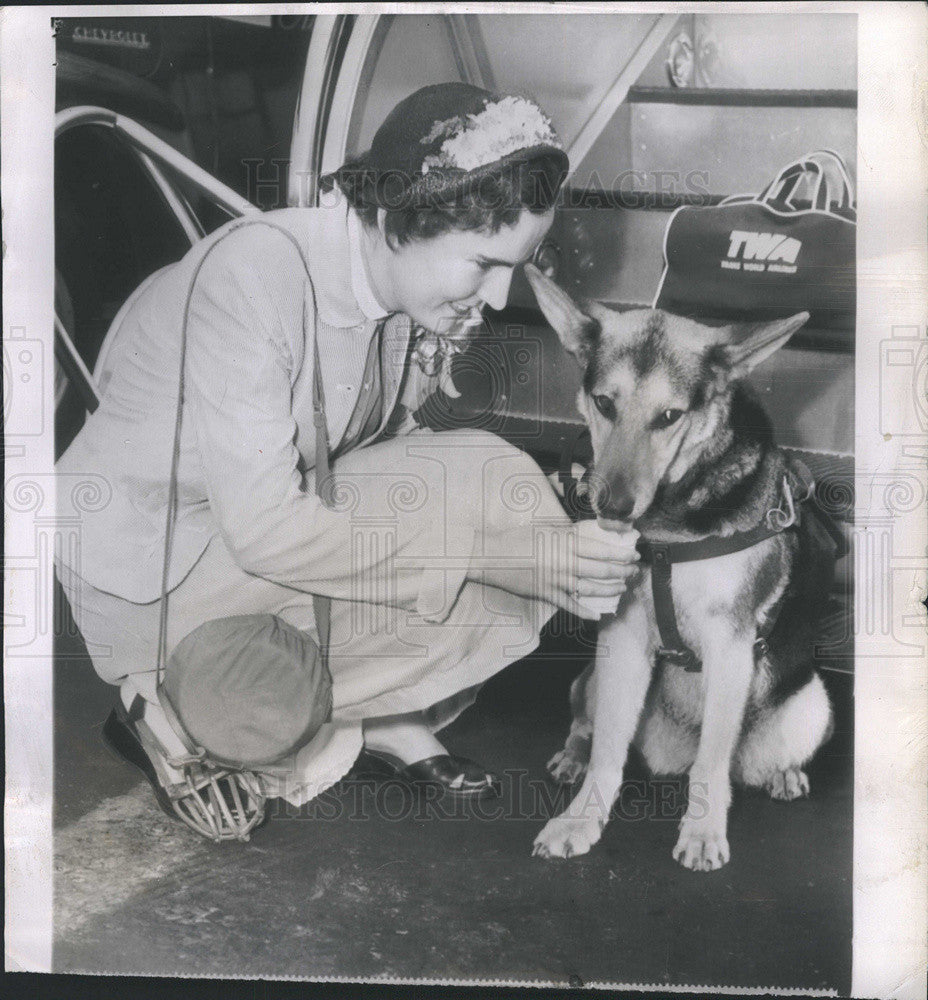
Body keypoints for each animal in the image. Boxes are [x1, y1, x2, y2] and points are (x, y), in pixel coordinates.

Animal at [524, 264, 836, 868]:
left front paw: (703, 832)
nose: (612, 506)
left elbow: (712, 765)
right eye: (604, 404)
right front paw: (581, 818)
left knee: (737, 759)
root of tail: (674, 750)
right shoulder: (621, 640)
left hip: (811, 703)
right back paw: (573, 755)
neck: (674, 523)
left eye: (669, 417)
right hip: (597, 677)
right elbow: (608, 753)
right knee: (587, 721)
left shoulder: (730, 648)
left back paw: (783, 774)